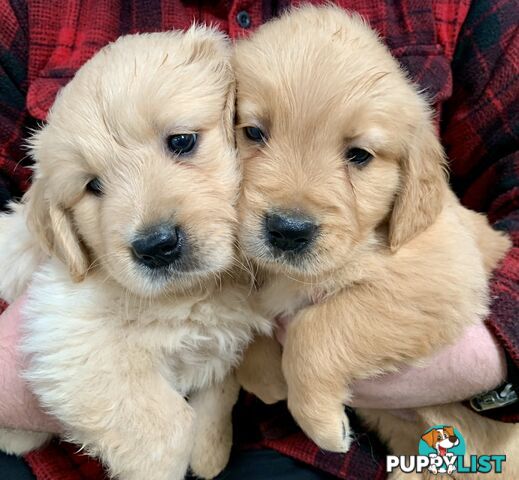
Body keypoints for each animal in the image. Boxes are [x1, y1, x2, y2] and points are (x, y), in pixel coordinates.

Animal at [0, 27, 270, 480]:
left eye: (182, 141)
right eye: (93, 185)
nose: (156, 246)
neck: (195, 292)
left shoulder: (224, 339)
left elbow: (217, 393)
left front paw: (210, 451)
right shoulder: (63, 327)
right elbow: (166, 429)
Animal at [236, 5, 519, 478]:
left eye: (359, 156)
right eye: (254, 133)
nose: (288, 231)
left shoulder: (440, 279)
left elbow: (316, 330)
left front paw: (319, 420)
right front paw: (269, 376)